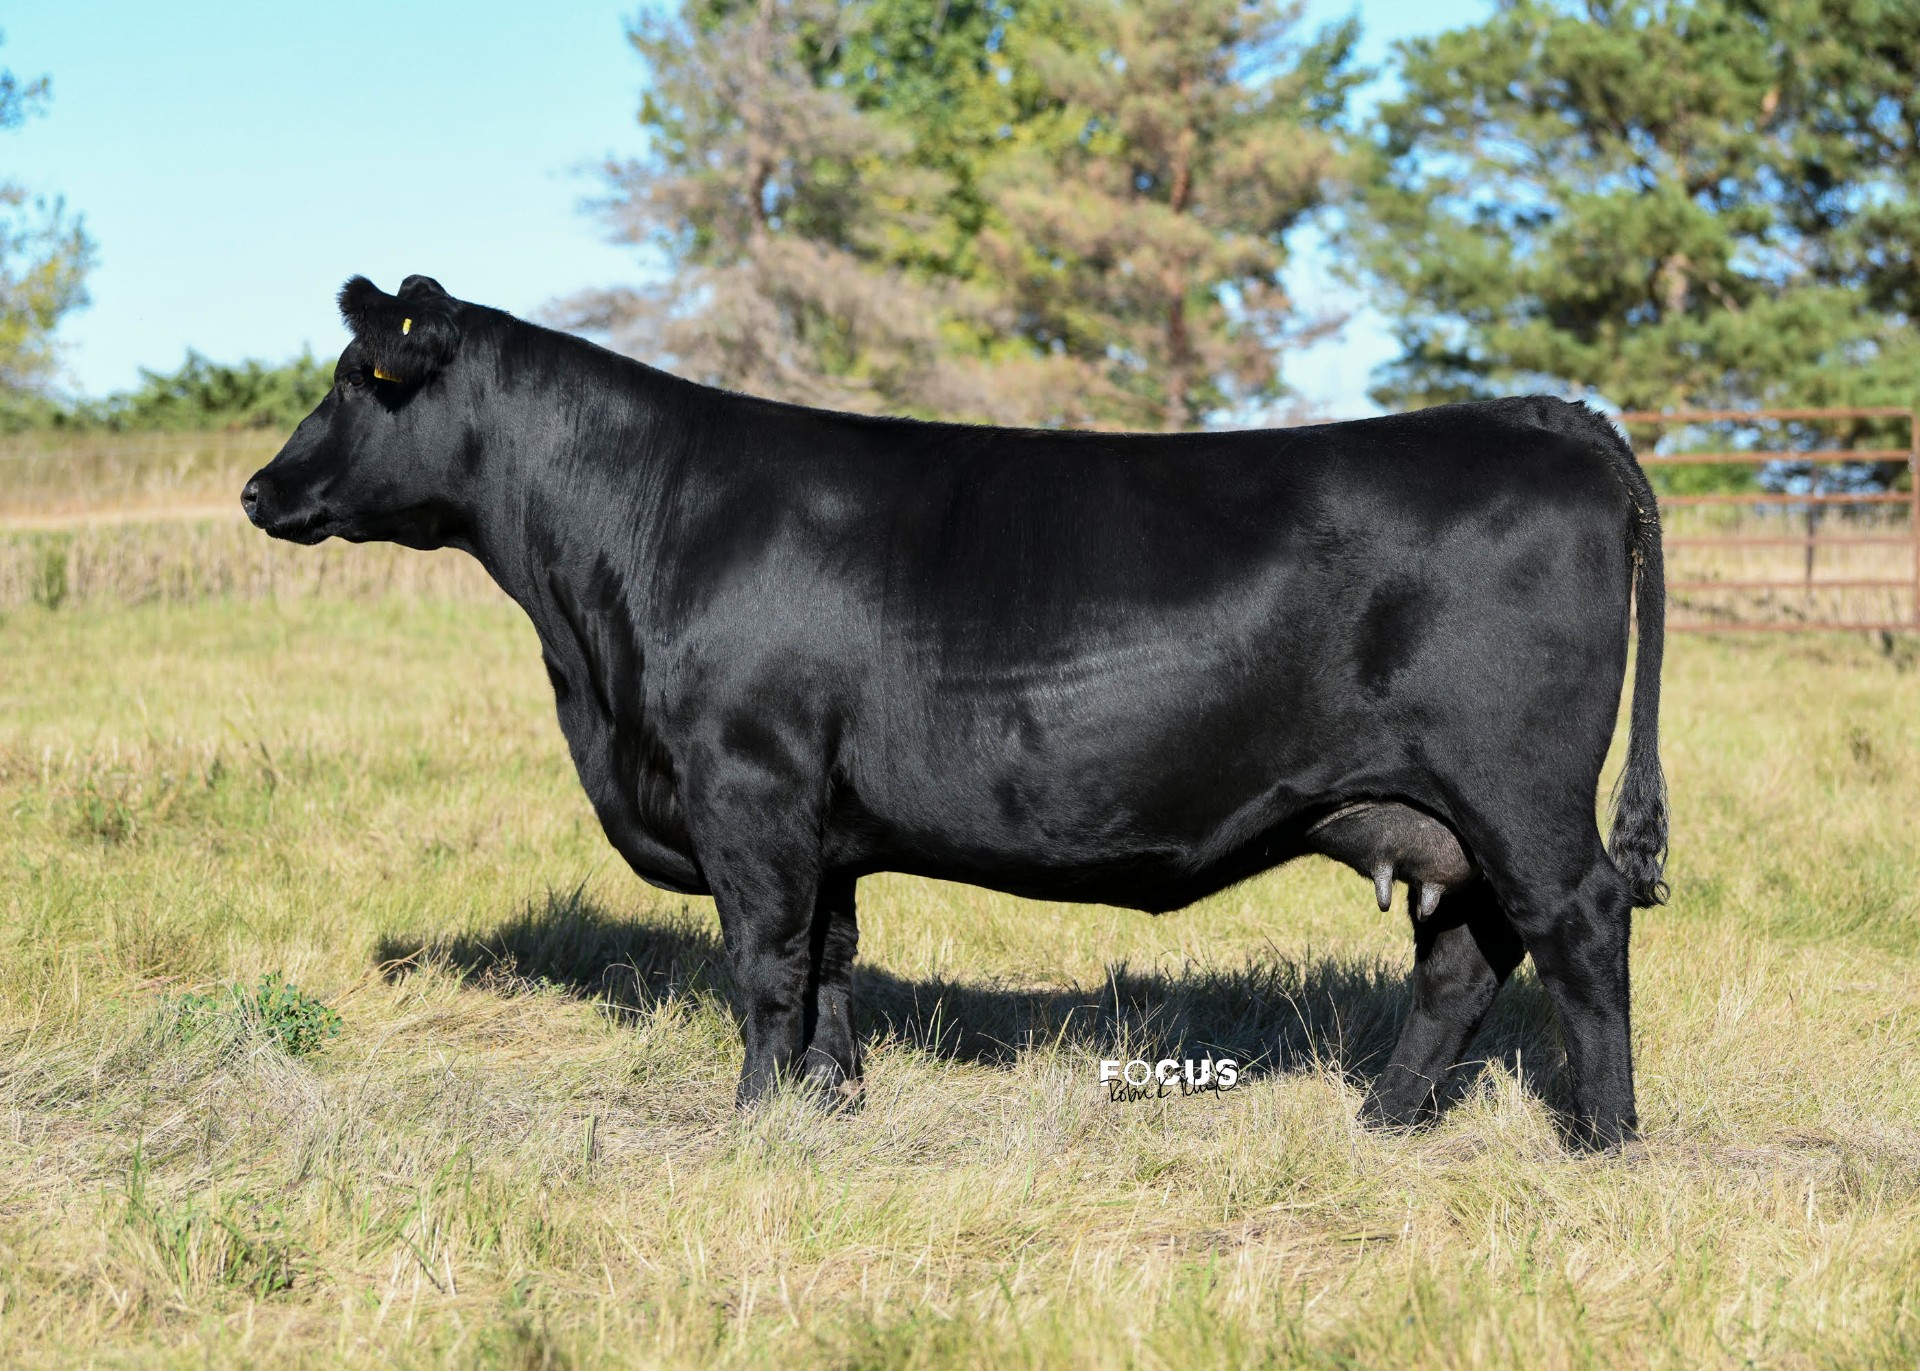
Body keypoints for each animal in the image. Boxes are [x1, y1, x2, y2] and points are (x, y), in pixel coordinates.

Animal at [243, 274, 1668, 1148]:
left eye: (359, 378)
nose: (258, 489)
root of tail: (1549, 414)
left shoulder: (747, 787)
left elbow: (762, 964)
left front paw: (753, 1120)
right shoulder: (820, 820)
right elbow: (830, 962)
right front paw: (829, 1107)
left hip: (1520, 789)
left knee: (1577, 924)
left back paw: (1602, 1138)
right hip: (1450, 813)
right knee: (1467, 952)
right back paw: (1386, 1118)